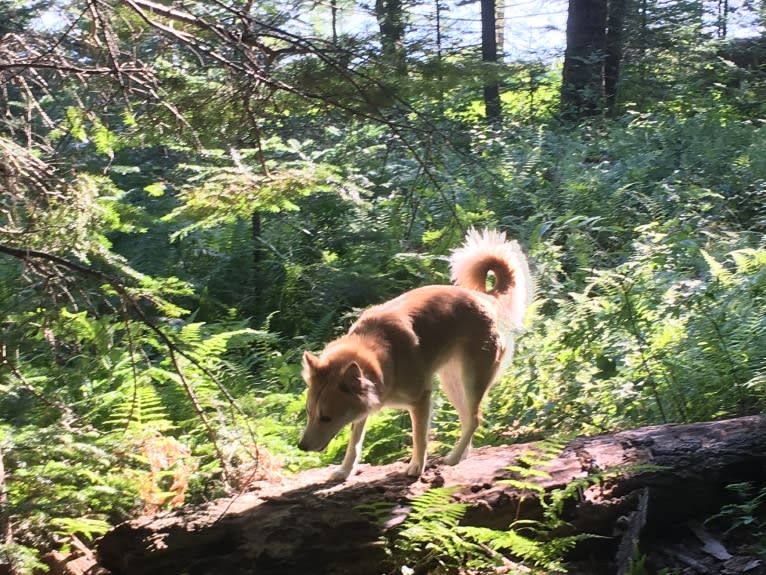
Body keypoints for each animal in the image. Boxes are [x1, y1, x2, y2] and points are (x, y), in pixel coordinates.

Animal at [300, 230, 536, 482]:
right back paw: (462, 454)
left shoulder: (421, 399)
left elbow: (419, 438)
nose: (301, 446)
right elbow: (354, 444)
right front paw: (345, 470)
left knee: (475, 419)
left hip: (471, 380)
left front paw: (416, 467)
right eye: (309, 412)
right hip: (453, 383)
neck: (384, 354)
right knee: (468, 419)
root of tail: (484, 299)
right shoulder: (364, 407)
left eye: (326, 417)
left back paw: (453, 458)